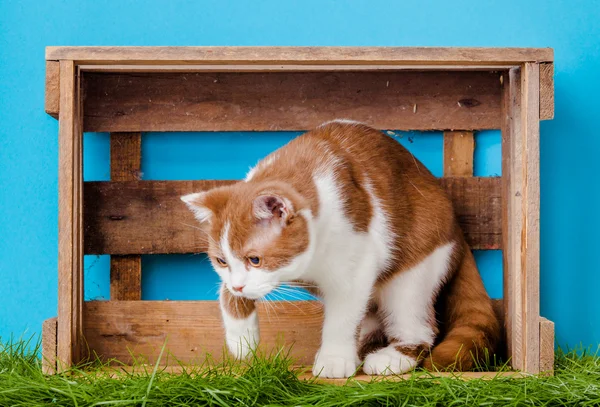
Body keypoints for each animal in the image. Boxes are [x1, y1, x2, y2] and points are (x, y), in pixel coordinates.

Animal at [180, 121, 500, 380]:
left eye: (255, 259)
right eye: (221, 260)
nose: (239, 285)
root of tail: (457, 226)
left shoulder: (357, 265)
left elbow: (343, 315)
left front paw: (334, 359)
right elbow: (226, 293)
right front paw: (242, 339)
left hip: (413, 273)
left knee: (418, 325)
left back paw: (390, 357)